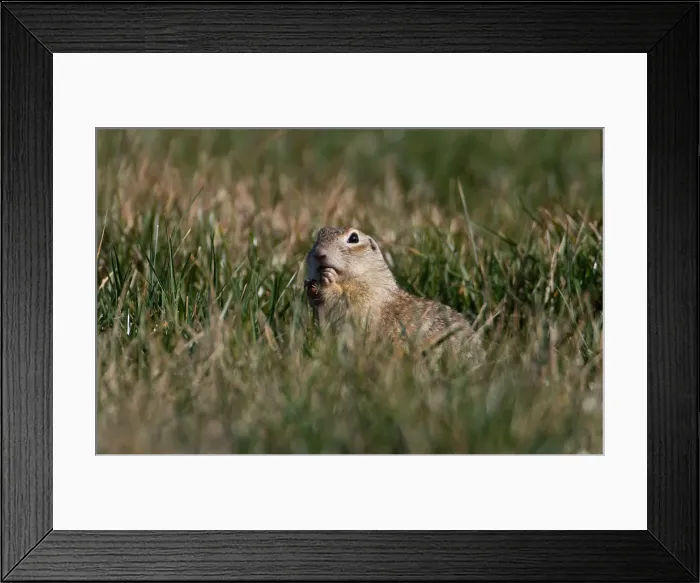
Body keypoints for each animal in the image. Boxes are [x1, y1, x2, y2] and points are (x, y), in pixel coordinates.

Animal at [304, 226, 483, 363]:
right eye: (318, 235)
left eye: (354, 238)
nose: (319, 253)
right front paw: (310, 288)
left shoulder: (366, 294)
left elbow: (346, 301)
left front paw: (328, 280)